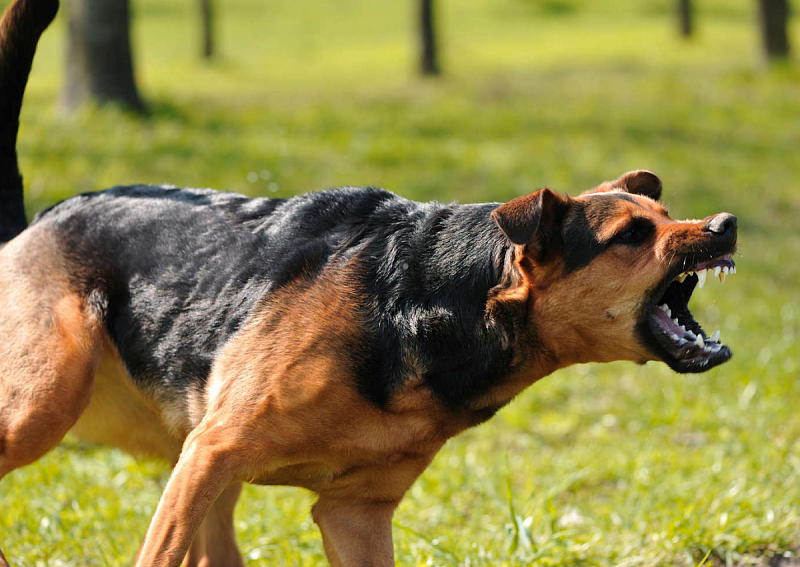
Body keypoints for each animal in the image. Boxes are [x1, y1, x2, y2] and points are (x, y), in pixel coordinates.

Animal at [0, 1, 736, 567]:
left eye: (667, 214)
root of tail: (34, 222)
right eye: (632, 235)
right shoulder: (212, 454)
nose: (726, 225)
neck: (431, 303)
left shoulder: (352, 511)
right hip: (47, 406)